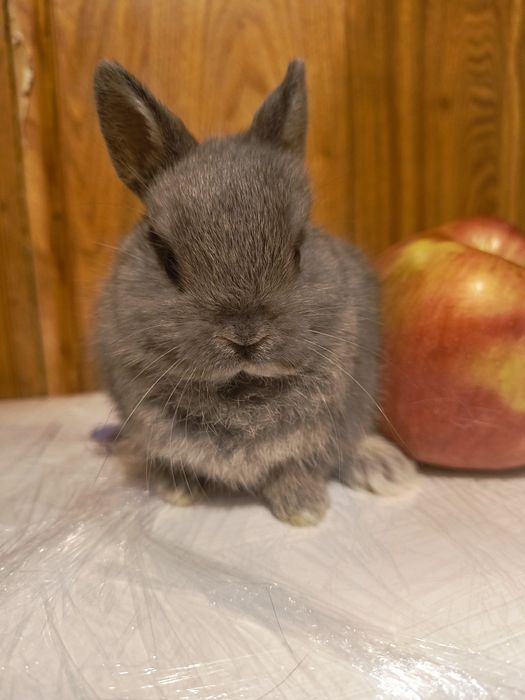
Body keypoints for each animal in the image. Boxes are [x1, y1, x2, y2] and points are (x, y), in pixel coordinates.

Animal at [93, 58, 417, 526]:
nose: (245, 337)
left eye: (298, 249)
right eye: (167, 258)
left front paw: (305, 508)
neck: (242, 388)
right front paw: (179, 490)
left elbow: (295, 465)